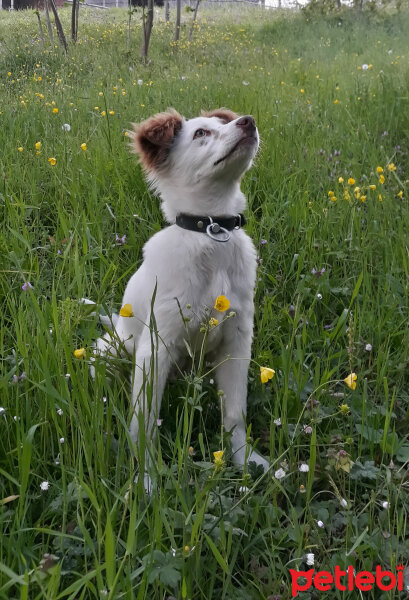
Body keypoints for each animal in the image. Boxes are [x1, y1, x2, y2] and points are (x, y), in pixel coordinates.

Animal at [91, 108, 268, 490]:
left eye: (225, 122)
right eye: (201, 133)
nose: (248, 121)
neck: (212, 232)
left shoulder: (237, 343)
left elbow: (235, 412)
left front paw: (245, 459)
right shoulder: (155, 348)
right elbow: (143, 424)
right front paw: (146, 479)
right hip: (113, 349)